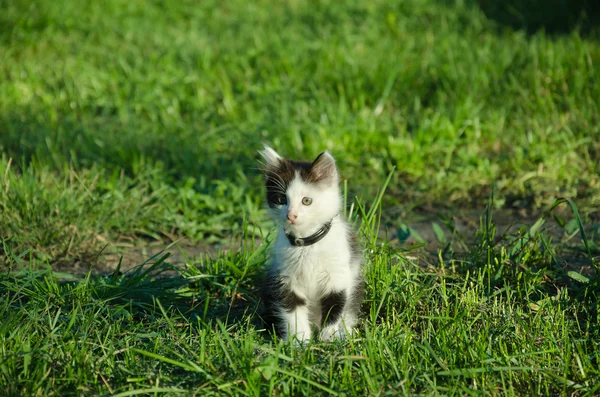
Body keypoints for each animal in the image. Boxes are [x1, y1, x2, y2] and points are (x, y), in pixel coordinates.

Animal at [256, 147, 364, 342]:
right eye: (281, 199)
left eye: (307, 201)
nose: (291, 215)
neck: (306, 245)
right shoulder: (285, 278)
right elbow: (293, 311)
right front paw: (299, 342)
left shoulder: (338, 276)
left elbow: (335, 306)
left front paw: (329, 338)